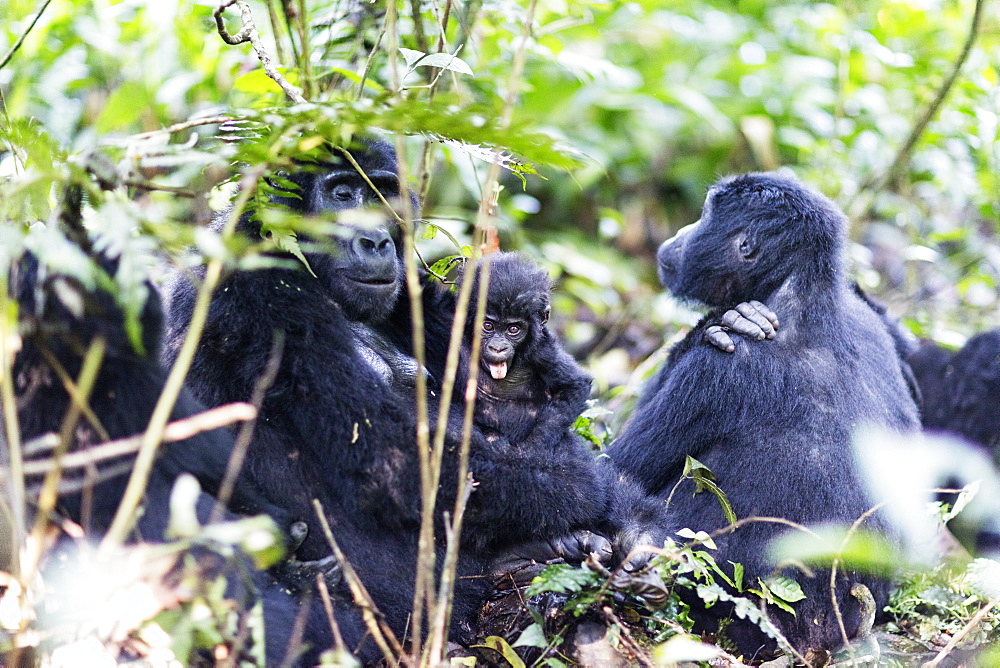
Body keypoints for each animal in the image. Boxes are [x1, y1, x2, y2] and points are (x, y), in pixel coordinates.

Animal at [608, 171, 920, 656]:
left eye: (704, 216)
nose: (678, 236)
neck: (802, 293)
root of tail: (829, 639)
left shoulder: (719, 372)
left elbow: (612, 470)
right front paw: (722, 322)